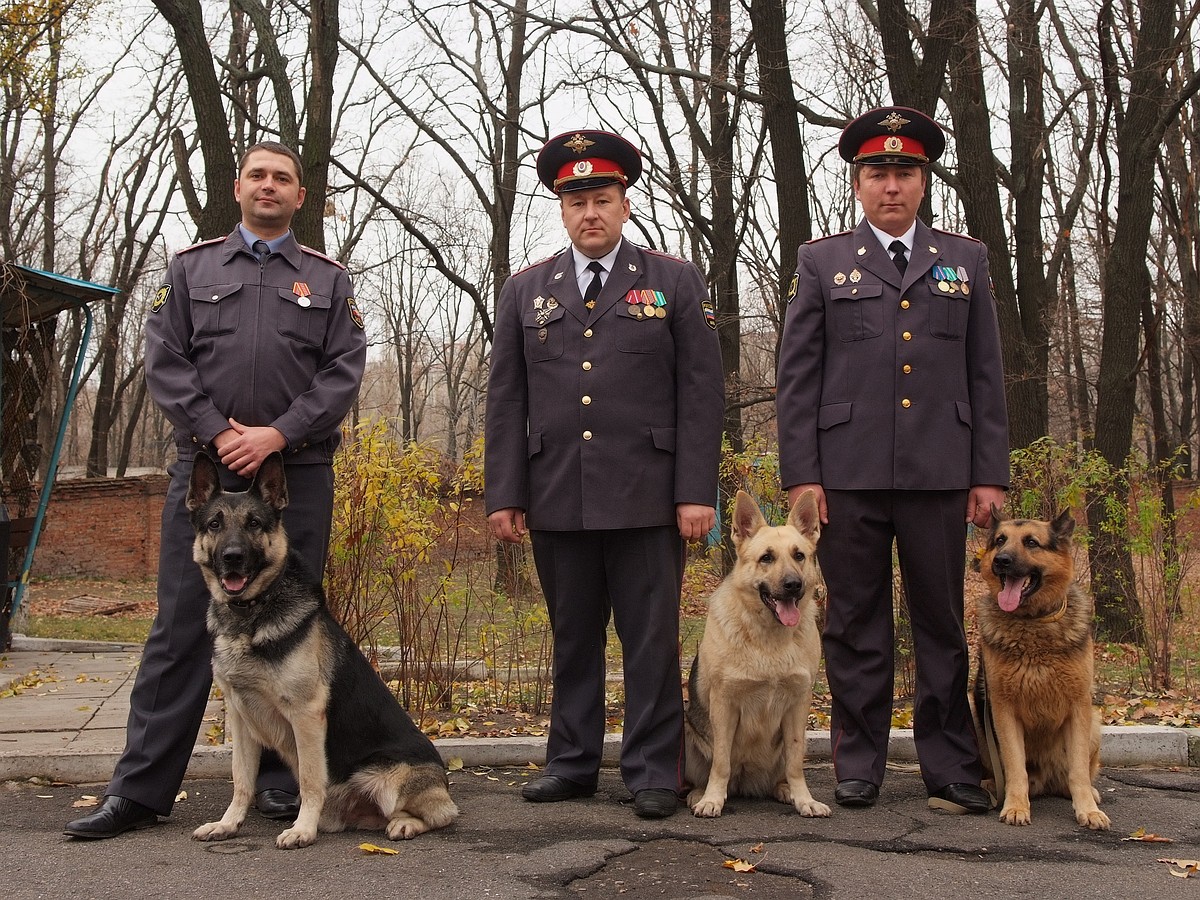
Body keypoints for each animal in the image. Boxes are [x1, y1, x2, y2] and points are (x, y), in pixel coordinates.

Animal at [187, 453, 458, 849]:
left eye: (254, 523)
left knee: (440, 814)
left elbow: (312, 779)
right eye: (214, 524)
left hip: (391, 779)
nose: (232, 557)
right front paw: (228, 824)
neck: (251, 615)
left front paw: (302, 829)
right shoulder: (241, 719)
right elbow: (241, 781)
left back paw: (404, 824)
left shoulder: (306, 715)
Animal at [686, 489, 835, 820]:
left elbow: (795, 762)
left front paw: (804, 799)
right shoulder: (724, 704)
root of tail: (746, 783)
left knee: (783, 770)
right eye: (766, 558)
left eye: (799, 555)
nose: (794, 585)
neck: (769, 638)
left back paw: (784, 790)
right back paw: (699, 792)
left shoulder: (798, 705)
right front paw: (712, 799)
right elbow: (721, 761)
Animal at [969, 508, 1108, 830]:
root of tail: (1044, 781)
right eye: (1000, 540)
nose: (1000, 561)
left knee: (1072, 776)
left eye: (1031, 542)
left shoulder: (1078, 706)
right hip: (976, 717)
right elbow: (1015, 765)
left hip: (1094, 724)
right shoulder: (1003, 710)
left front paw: (1087, 809)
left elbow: (1078, 771)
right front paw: (1016, 805)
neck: (1032, 623)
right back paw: (992, 786)